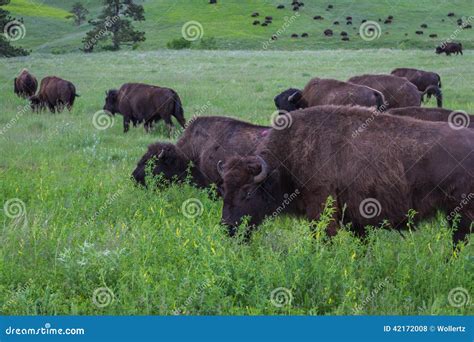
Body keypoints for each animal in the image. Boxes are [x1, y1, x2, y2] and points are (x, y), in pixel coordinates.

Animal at [218, 104, 474, 243]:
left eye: (248, 192)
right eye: (224, 191)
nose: (226, 228)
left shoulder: (323, 210)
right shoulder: (356, 220)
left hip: (459, 213)